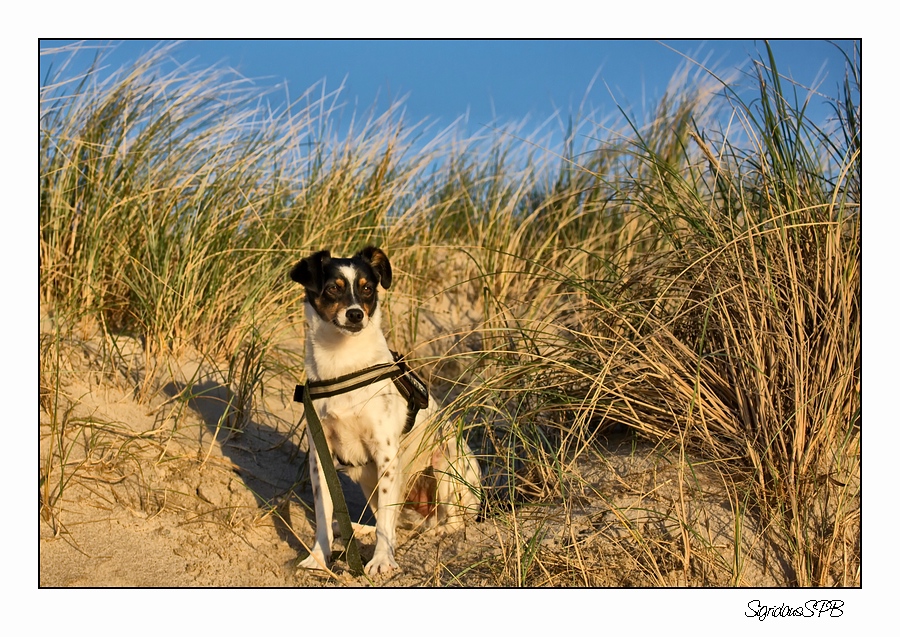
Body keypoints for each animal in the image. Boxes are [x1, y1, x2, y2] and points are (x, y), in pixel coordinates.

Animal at [292, 246, 482, 572]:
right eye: (333, 288)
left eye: (368, 288)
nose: (356, 314)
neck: (342, 363)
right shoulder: (320, 457)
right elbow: (323, 514)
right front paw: (318, 556)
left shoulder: (386, 453)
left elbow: (386, 527)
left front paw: (381, 560)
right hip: (370, 481)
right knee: (394, 520)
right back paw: (357, 529)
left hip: (446, 462)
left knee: (448, 523)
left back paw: (434, 532)